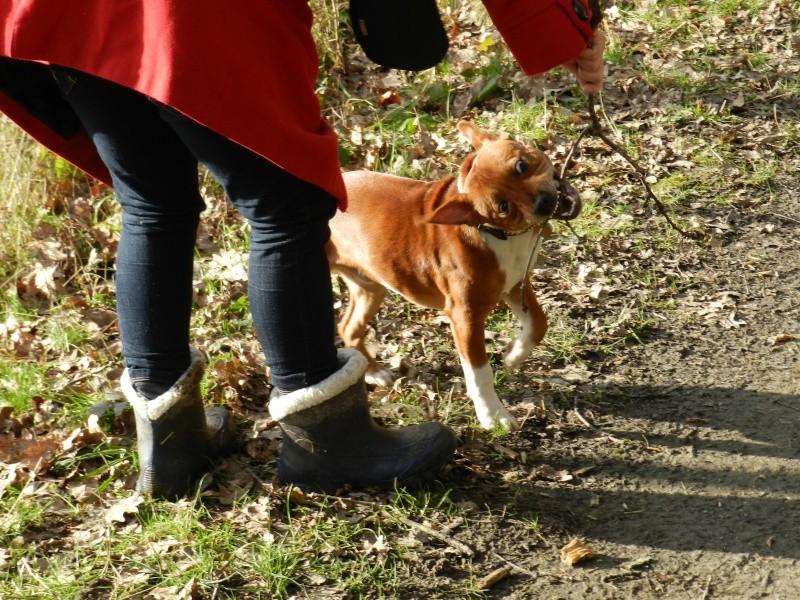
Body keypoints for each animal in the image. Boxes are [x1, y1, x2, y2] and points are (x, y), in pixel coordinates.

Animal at [324, 120, 580, 432]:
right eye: (503, 206)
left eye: (521, 166)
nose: (544, 203)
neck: (490, 231)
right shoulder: (465, 317)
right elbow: (479, 374)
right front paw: (492, 415)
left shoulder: (515, 285)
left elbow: (538, 324)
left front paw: (514, 354)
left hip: (370, 287)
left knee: (348, 327)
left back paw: (373, 372)